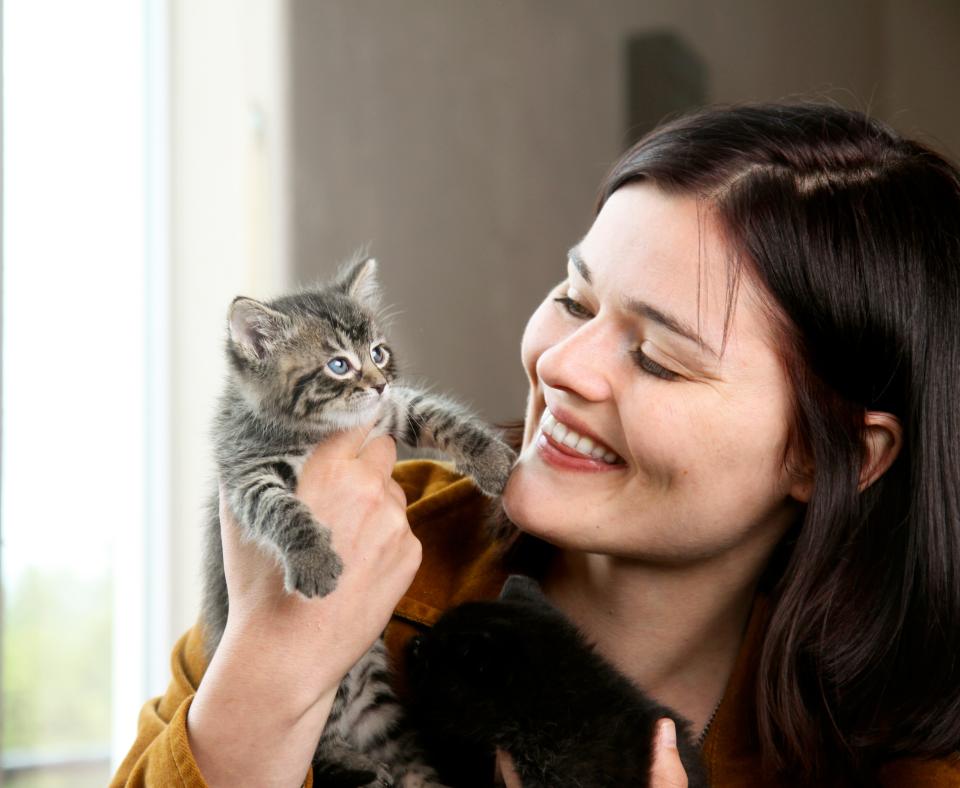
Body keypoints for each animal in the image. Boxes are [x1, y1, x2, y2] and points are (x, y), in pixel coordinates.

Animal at [202, 255, 512, 784]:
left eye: (379, 353)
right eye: (339, 364)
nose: (379, 382)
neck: (321, 430)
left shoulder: (391, 411)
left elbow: (439, 416)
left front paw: (491, 459)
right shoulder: (247, 470)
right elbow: (281, 509)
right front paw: (314, 561)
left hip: (382, 712)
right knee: (321, 746)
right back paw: (358, 767)